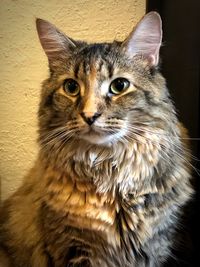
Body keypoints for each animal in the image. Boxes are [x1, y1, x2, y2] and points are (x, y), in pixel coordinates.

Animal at [0, 12, 194, 267]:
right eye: (71, 87)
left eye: (119, 85)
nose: (89, 116)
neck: (109, 174)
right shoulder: (73, 248)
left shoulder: (157, 245)